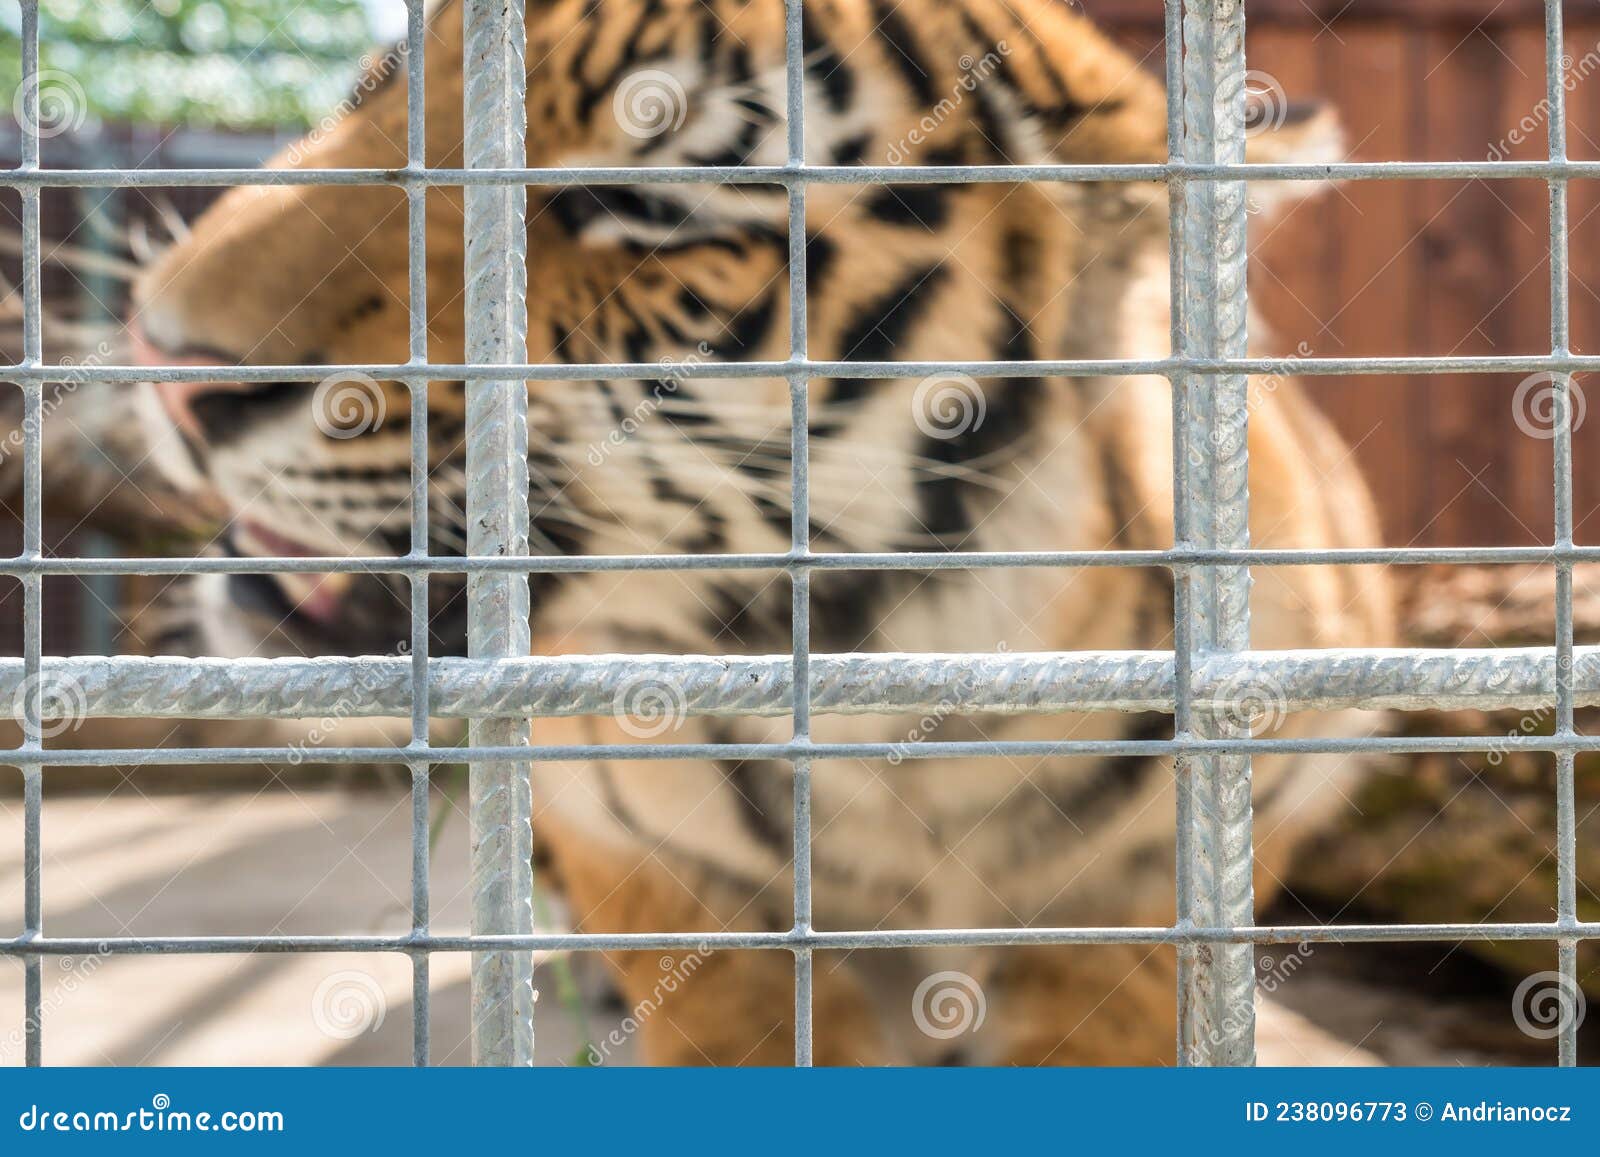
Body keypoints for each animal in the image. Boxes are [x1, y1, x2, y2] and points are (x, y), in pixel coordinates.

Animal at [127, 0, 1393, 1065]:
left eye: (646, 213)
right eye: (381, 84)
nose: (165, 364)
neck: (906, 738)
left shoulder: (1156, 881)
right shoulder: (659, 861)